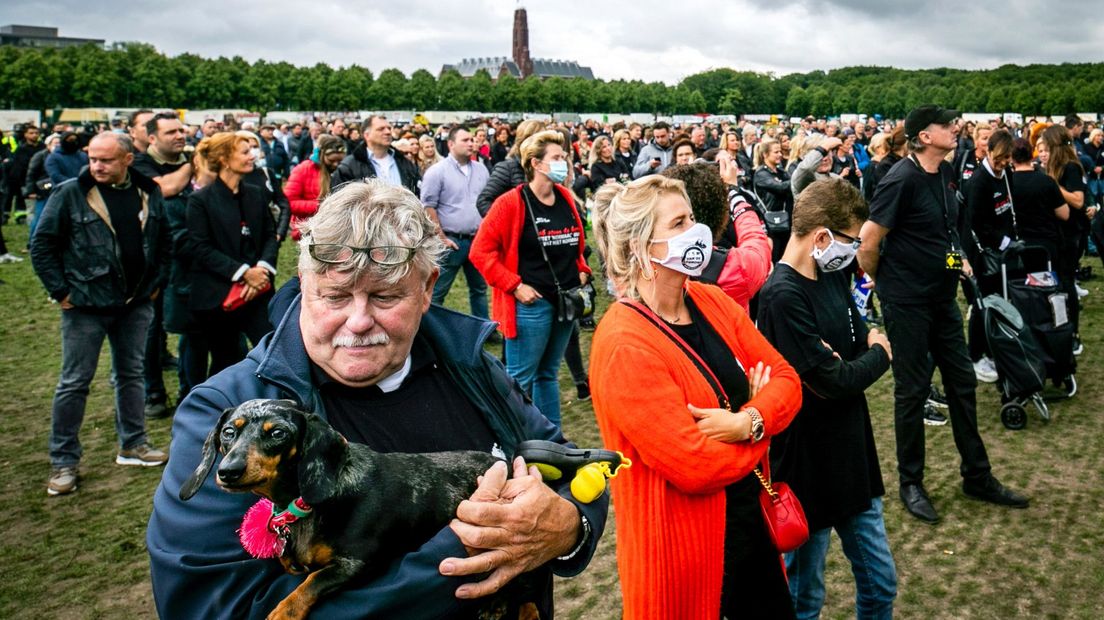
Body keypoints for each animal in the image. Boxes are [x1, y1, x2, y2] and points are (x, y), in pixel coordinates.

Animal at [178, 397, 514, 613]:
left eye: (277, 433)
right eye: (228, 432)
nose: (228, 472)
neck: (306, 506)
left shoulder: (357, 563)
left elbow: (312, 582)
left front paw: (283, 611)